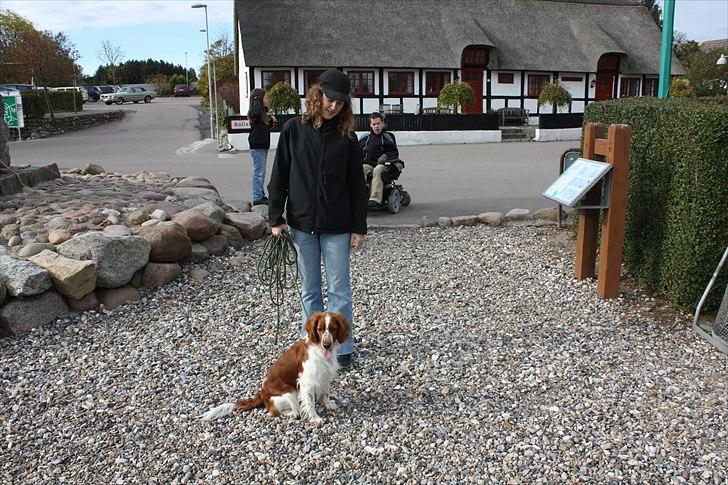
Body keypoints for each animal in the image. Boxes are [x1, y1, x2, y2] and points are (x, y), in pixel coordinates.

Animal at [198, 312, 348, 422]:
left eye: (333, 329)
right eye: (319, 330)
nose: (327, 345)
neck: (319, 351)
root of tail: (261, 395)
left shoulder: (325, 376)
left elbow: (326, 393)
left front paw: (329, 405)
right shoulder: (307, 382)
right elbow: (310, 403)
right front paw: (315, 419)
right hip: (289, 391)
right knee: (274, 412)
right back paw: (292, 413)